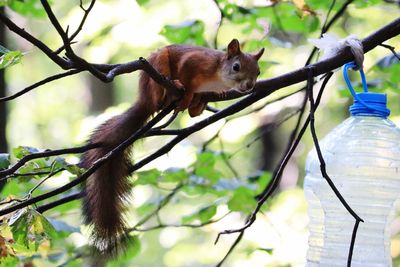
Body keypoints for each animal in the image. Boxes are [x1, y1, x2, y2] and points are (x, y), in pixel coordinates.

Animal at [80, 38, 264, 254]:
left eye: (258, 71)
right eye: (236, 67)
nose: (249, 85)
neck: (217, 74)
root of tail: (144, 100)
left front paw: (207, 97)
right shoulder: (194, 62)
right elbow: (187, 73)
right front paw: (188, 91)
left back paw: (197, 104)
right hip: (156, 73)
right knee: (160, 93)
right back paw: (174, 91)